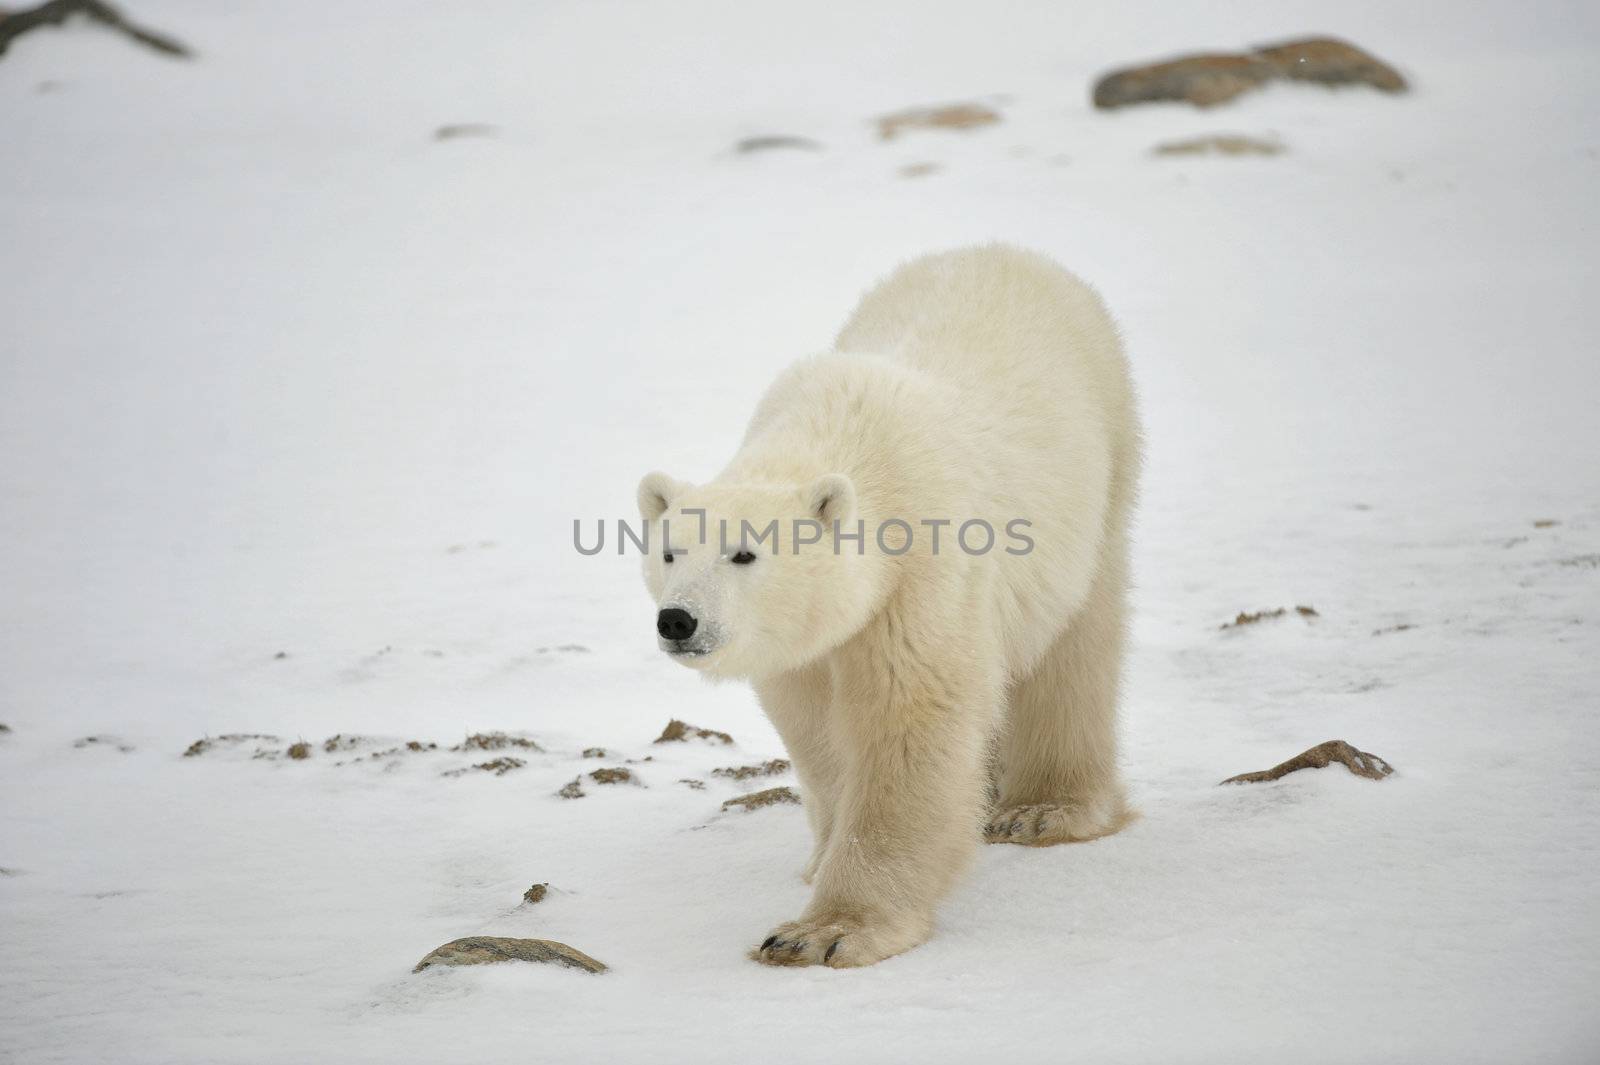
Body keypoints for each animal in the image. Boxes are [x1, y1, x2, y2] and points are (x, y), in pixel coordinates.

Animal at [633, 244, 1139, 965]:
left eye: (744, 554)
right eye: (670, 551)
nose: (679, 619)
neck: (842, 433)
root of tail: (1005, 252)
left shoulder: (922, 570)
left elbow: (908, 718)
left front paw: (824, 930)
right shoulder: (807, 640)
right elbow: (817, 728)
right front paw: (821, 859)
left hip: (1099, 465)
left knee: (1074, 642)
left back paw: (1044, 808)